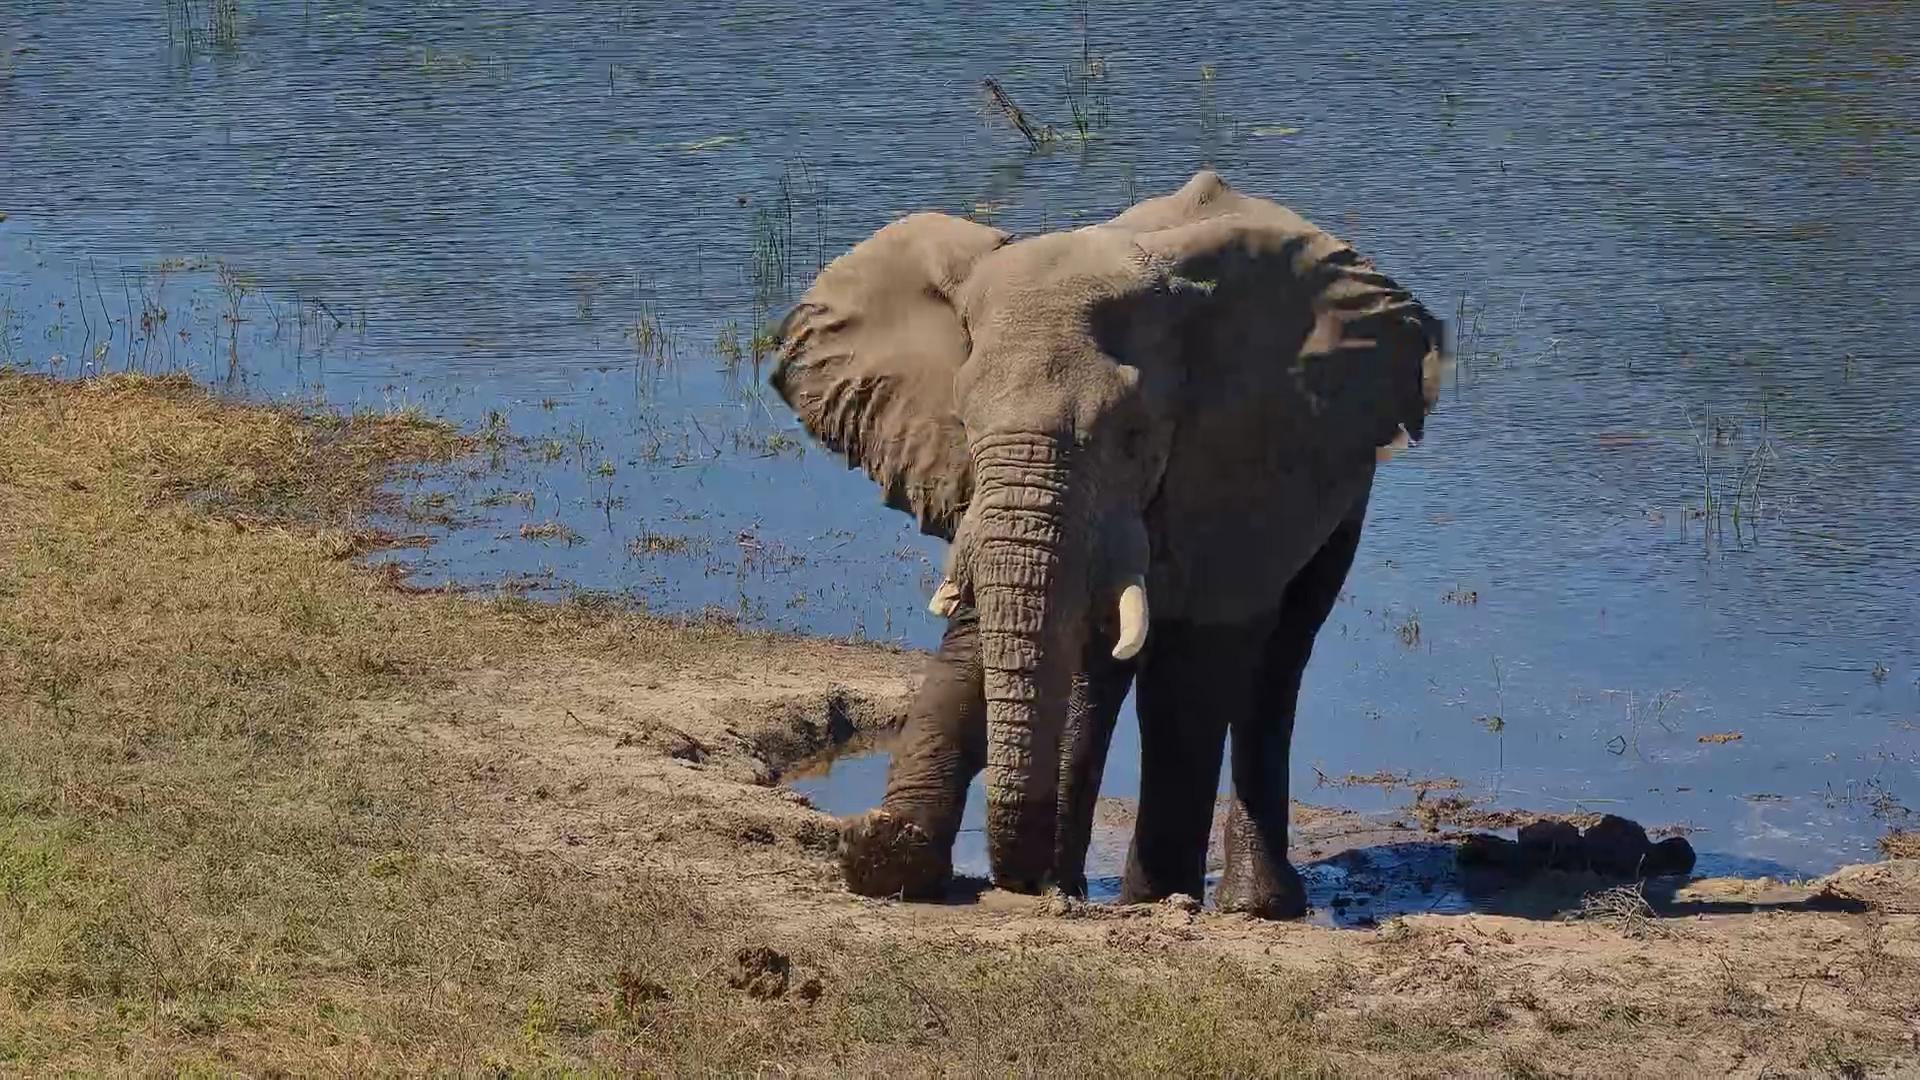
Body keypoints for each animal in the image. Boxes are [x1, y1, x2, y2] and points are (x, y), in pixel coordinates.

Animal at [770, 169, 1448, 918]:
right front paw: (884, 854)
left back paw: (1251, 905)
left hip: (1346, 475)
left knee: (1280, 654)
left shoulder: (1241, 457)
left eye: (1132, 436)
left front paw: (1153, 899)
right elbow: (983, 626)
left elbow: (1189, 671)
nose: (1015, 880)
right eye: (964, 424)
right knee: (1101, 669)